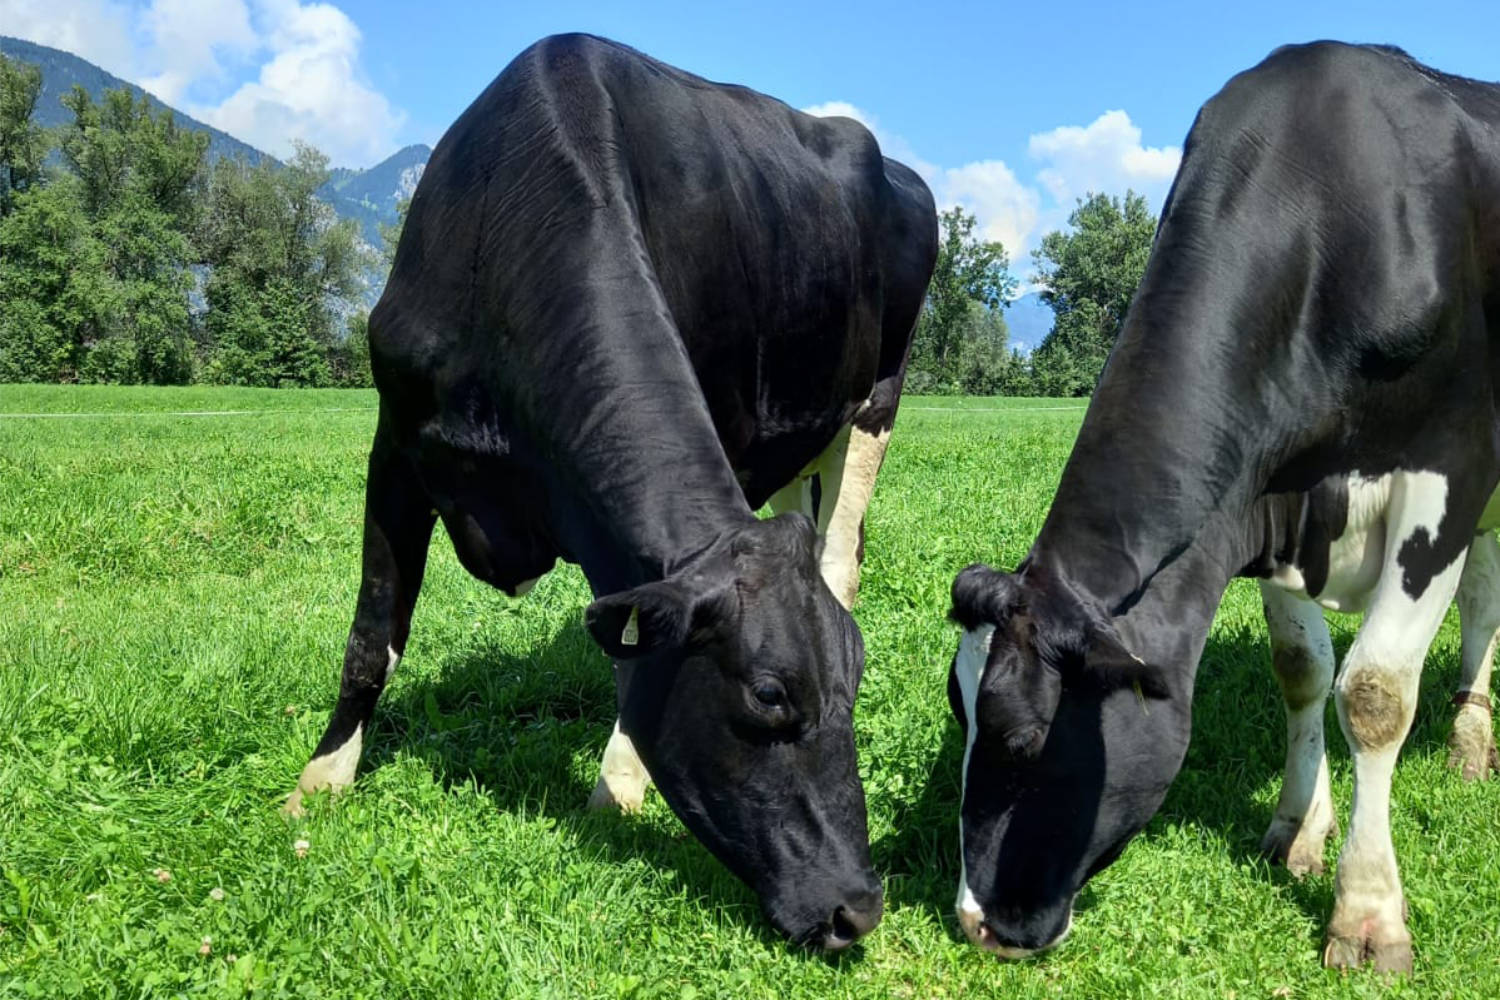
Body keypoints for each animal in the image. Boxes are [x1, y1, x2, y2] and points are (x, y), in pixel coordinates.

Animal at [282, 33, 936, 953]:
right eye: (769, 696)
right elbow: (372, 635)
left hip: (876, 401)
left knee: (841, 558)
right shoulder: (397, 442)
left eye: (855, 686)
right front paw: (319, 781)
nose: (860, 907)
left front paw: (618, 785)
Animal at [948, 43, 1500, 971]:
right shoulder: (1266, 498)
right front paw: (1298, 830)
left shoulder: (1449, 470)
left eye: (1022, 737)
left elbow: (1374, 693)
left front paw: (1367, 912)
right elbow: (1303, 668)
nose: (974, 923)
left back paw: (1466, 739)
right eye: (956, 715)